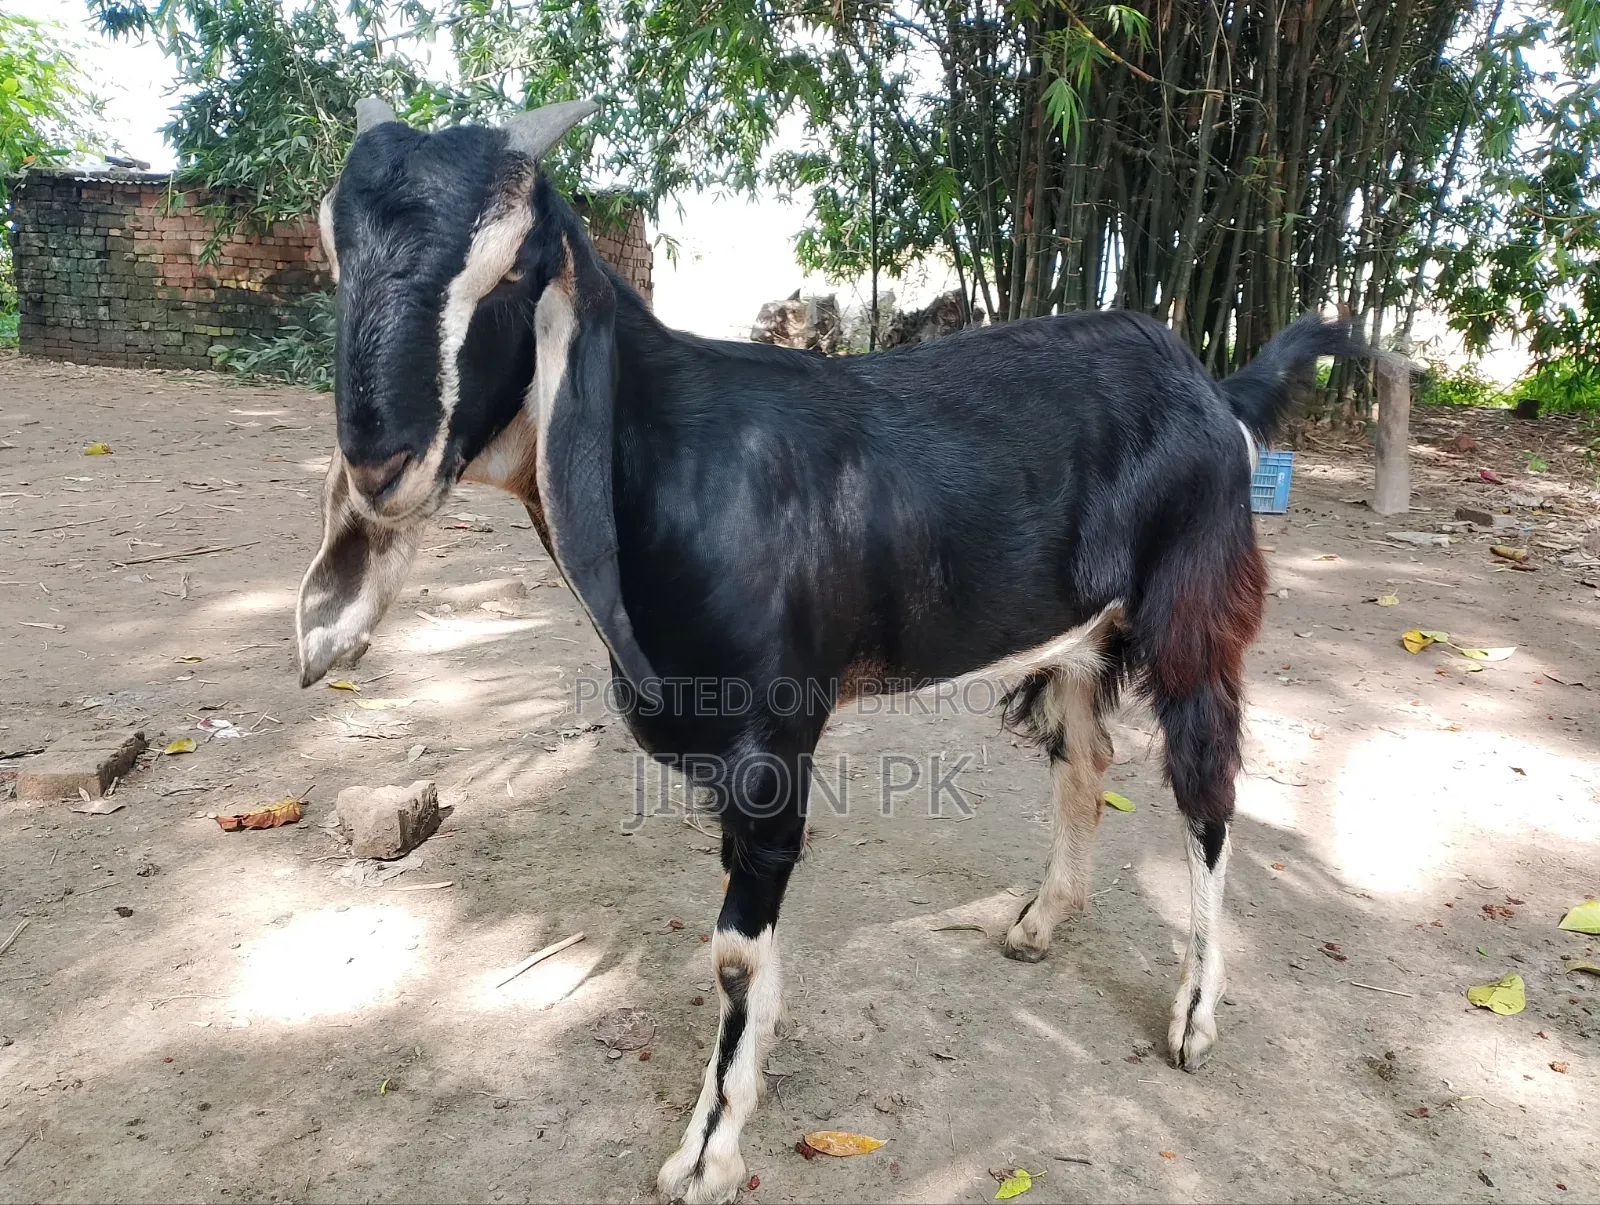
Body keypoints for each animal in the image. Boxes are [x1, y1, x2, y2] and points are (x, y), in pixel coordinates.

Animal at [295, 98, 1357, 1205]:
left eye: (508, 268)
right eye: (332, 251)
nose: (379, 463)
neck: (671, 465)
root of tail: (1213, 388)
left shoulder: (773, 741)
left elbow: (730, 953)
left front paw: (707, 1148)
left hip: (1196, 606)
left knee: (1207, 790)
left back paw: (1194, 1017)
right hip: (1078, 632)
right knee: (1088, 761)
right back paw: (1038, 920)